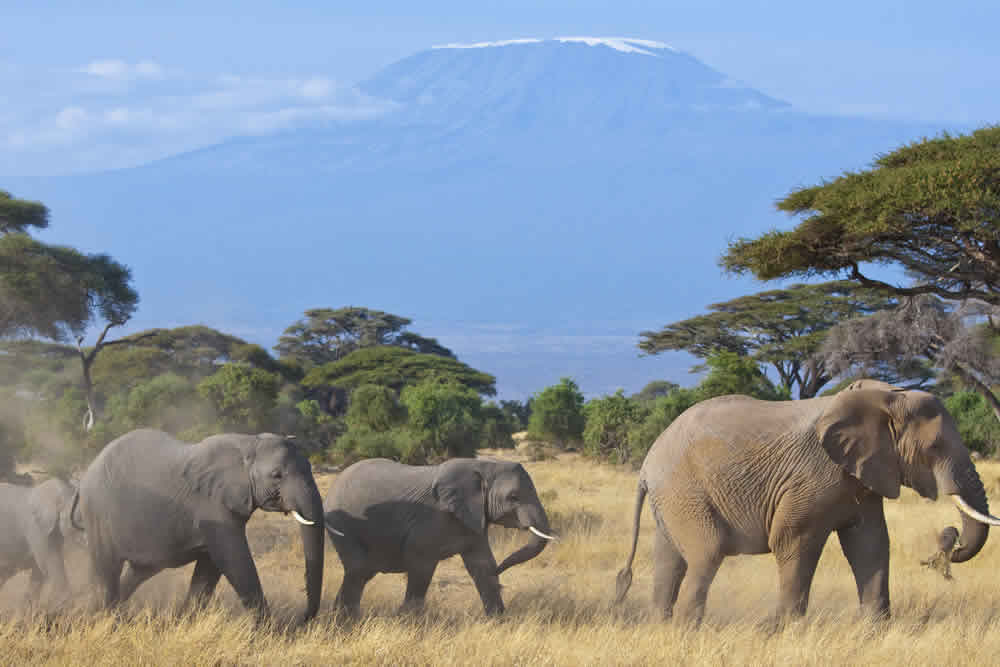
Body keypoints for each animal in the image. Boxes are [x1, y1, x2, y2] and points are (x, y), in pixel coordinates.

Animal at [79, 430, 328, 624]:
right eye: (276, 475)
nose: (302, 619)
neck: (248, 443)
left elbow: (211, 568)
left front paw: (183, 623)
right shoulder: (213, 505)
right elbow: (234, 560)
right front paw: (269, 634)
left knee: (137, 572)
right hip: (97, 512)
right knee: (107, 568)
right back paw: (108, 619)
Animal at [326, 456, 556, 620]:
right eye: (513, 497)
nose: (501, 568)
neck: (482, 466)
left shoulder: (473, 517)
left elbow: (481, 566)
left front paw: (498, 622)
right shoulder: (432, 519)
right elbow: (421, 566)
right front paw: (406, 620)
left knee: (362, 573)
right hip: (341, 524)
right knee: (359, 570)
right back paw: (345, 621)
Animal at [612, 380, 1000, 628]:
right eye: (934, 447)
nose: (951, 537)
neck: (884, 396)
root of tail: (646, 465)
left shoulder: (862, 475)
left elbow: (870, 542)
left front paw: (874, 629)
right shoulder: (813, 475)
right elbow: (794, 541)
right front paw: (785, 629)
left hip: (672, 499)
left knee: (669, 560)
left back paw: (662, 627)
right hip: (685, 491)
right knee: (707, 554)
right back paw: (687, 630)